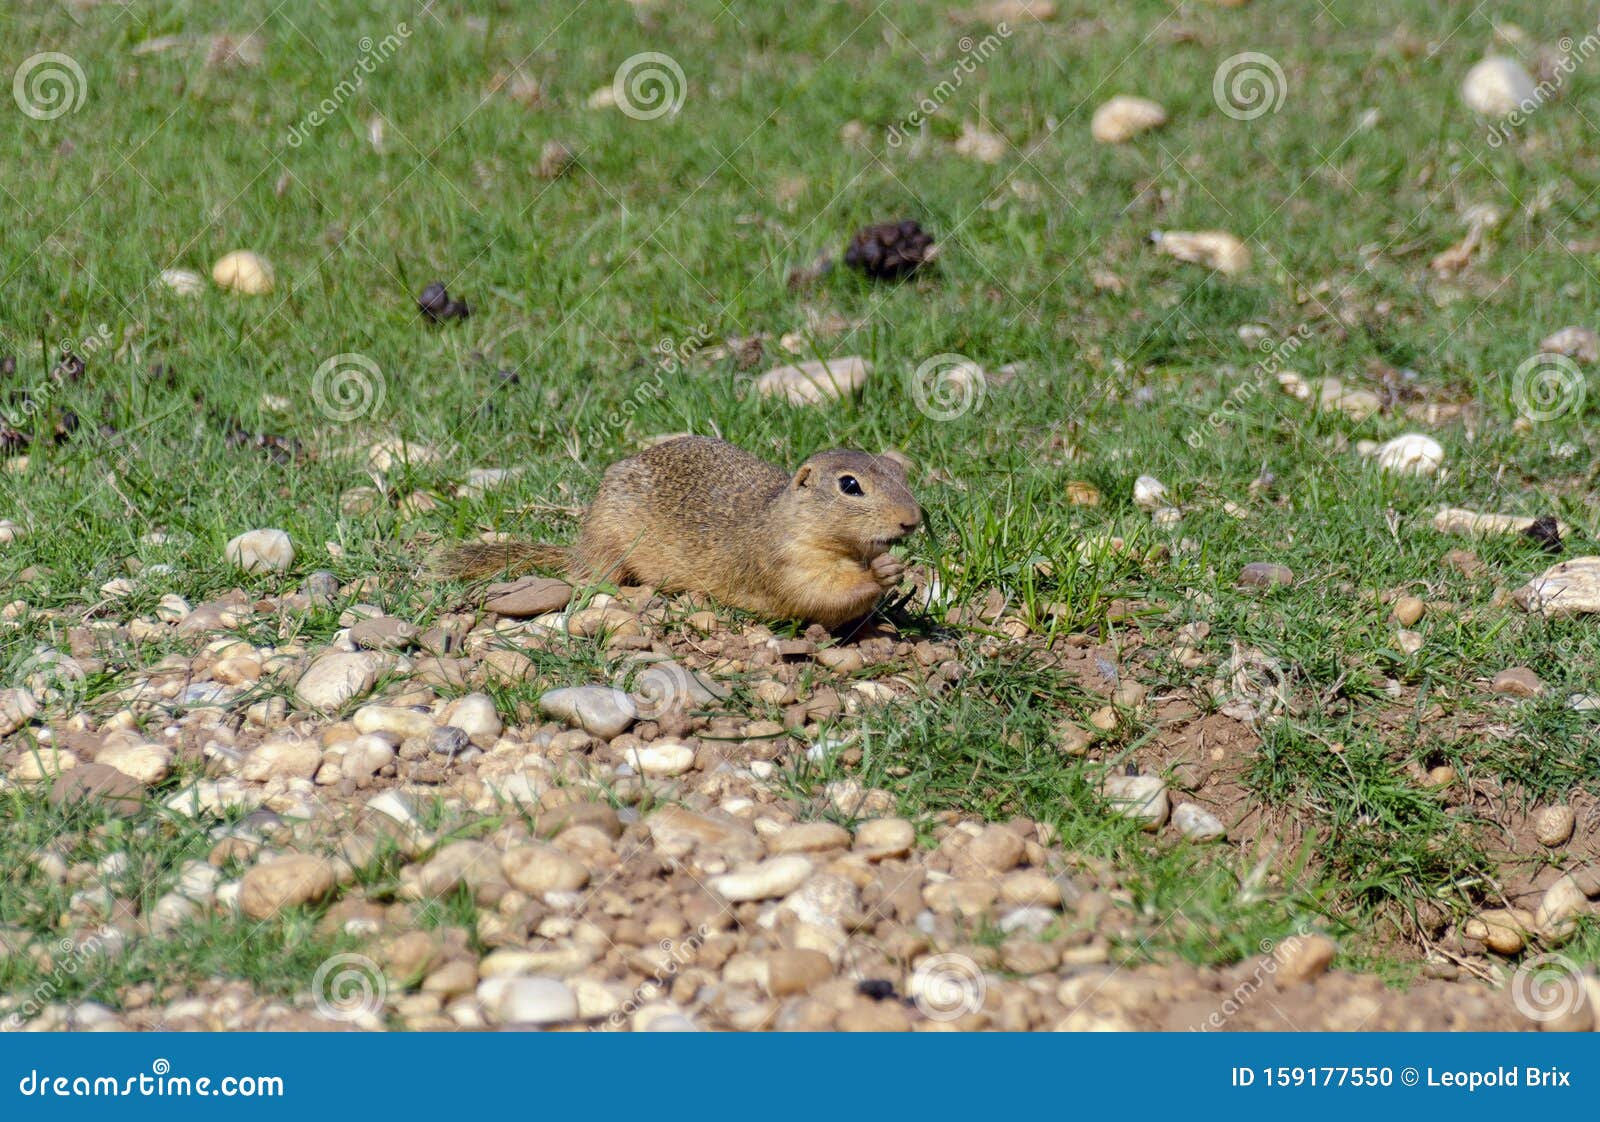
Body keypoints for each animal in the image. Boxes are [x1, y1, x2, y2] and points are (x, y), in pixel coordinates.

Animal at [433, 435, 923, 629]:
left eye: (900, 471)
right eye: (850, 485)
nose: (912, 520)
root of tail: (578, 547)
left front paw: (892, 566)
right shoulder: (786, 561)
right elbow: (820, 593)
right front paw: (881, 574)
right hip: (610, 540)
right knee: (594, 578)